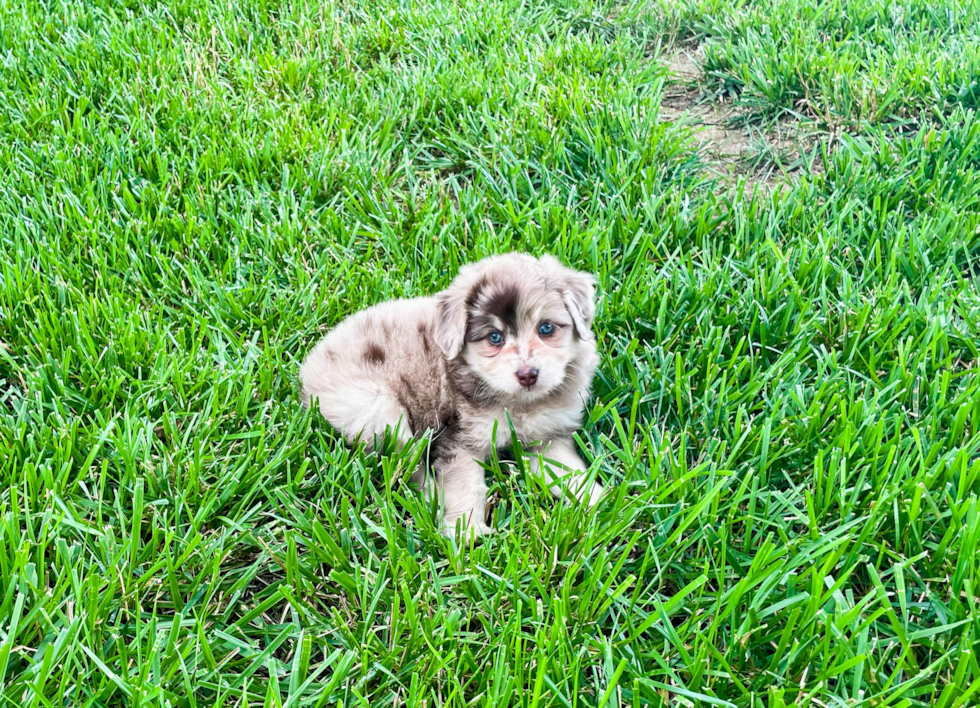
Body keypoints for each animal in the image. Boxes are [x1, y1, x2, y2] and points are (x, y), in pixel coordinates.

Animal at [300, 253, 604, 536]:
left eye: (546, 328)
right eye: (494, 338)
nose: (528, 374)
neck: (518, 404)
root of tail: (308, 370)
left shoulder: (550, 438)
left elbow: (572, 474)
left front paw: (606, 503)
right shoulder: (461, 442)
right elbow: (466, 487)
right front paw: (467, 532)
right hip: (378, 409)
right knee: (407, 464)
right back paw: (433, 498)